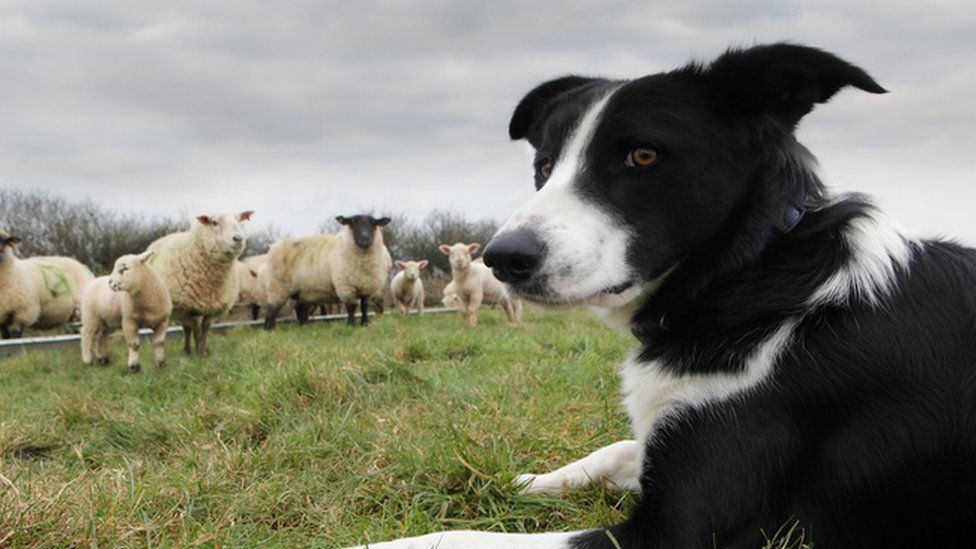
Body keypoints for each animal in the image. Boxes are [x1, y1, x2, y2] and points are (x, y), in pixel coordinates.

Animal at [146, 210, 254, 356]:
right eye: (214, 222)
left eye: (239, 220)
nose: (238, 239)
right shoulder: (192, 307)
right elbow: (196, 329)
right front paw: (199, 353)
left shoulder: (213, 307)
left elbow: (206, 328)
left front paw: (203, 350)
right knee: (186, 327)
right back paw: (186, 350)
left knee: (187, 327)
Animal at [356, 44, 976, 548]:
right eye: (545, 166)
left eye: (643, 155)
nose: (502, 258)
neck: (746, 276)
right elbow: (618, 447)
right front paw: (530, 480)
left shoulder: (676, 532)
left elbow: (463, 538)